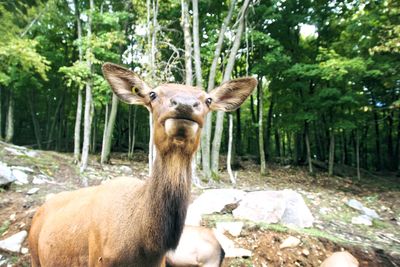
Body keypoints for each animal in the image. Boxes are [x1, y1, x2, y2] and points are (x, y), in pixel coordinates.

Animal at [28, 63, 256, 267]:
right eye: (153, 94)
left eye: (208, 99)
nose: (184, 104)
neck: (144, 249)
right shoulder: (97, 258)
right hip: (35, 256)